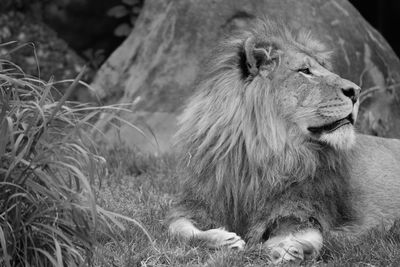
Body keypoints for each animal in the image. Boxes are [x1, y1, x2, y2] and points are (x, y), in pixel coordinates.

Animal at [167, 19, 400, 264]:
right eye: (305, 71)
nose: (356, 91)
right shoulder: (197, 203)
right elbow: (176, 229)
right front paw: (225, 240)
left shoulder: (302, 210)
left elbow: (314, 238)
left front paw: (291, 250)